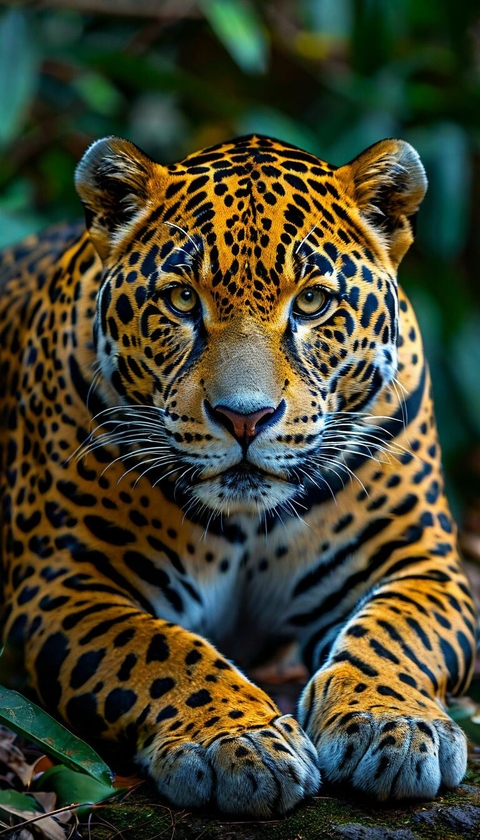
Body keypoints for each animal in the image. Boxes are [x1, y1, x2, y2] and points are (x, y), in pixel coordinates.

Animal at [0, 133, 476, 817]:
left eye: (312, 302)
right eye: (181, 300)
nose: (244, 417)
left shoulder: (421, 563)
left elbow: (399, 632)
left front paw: (394, 724)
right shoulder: (61, 583)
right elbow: (157, 648)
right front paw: (237, 740)